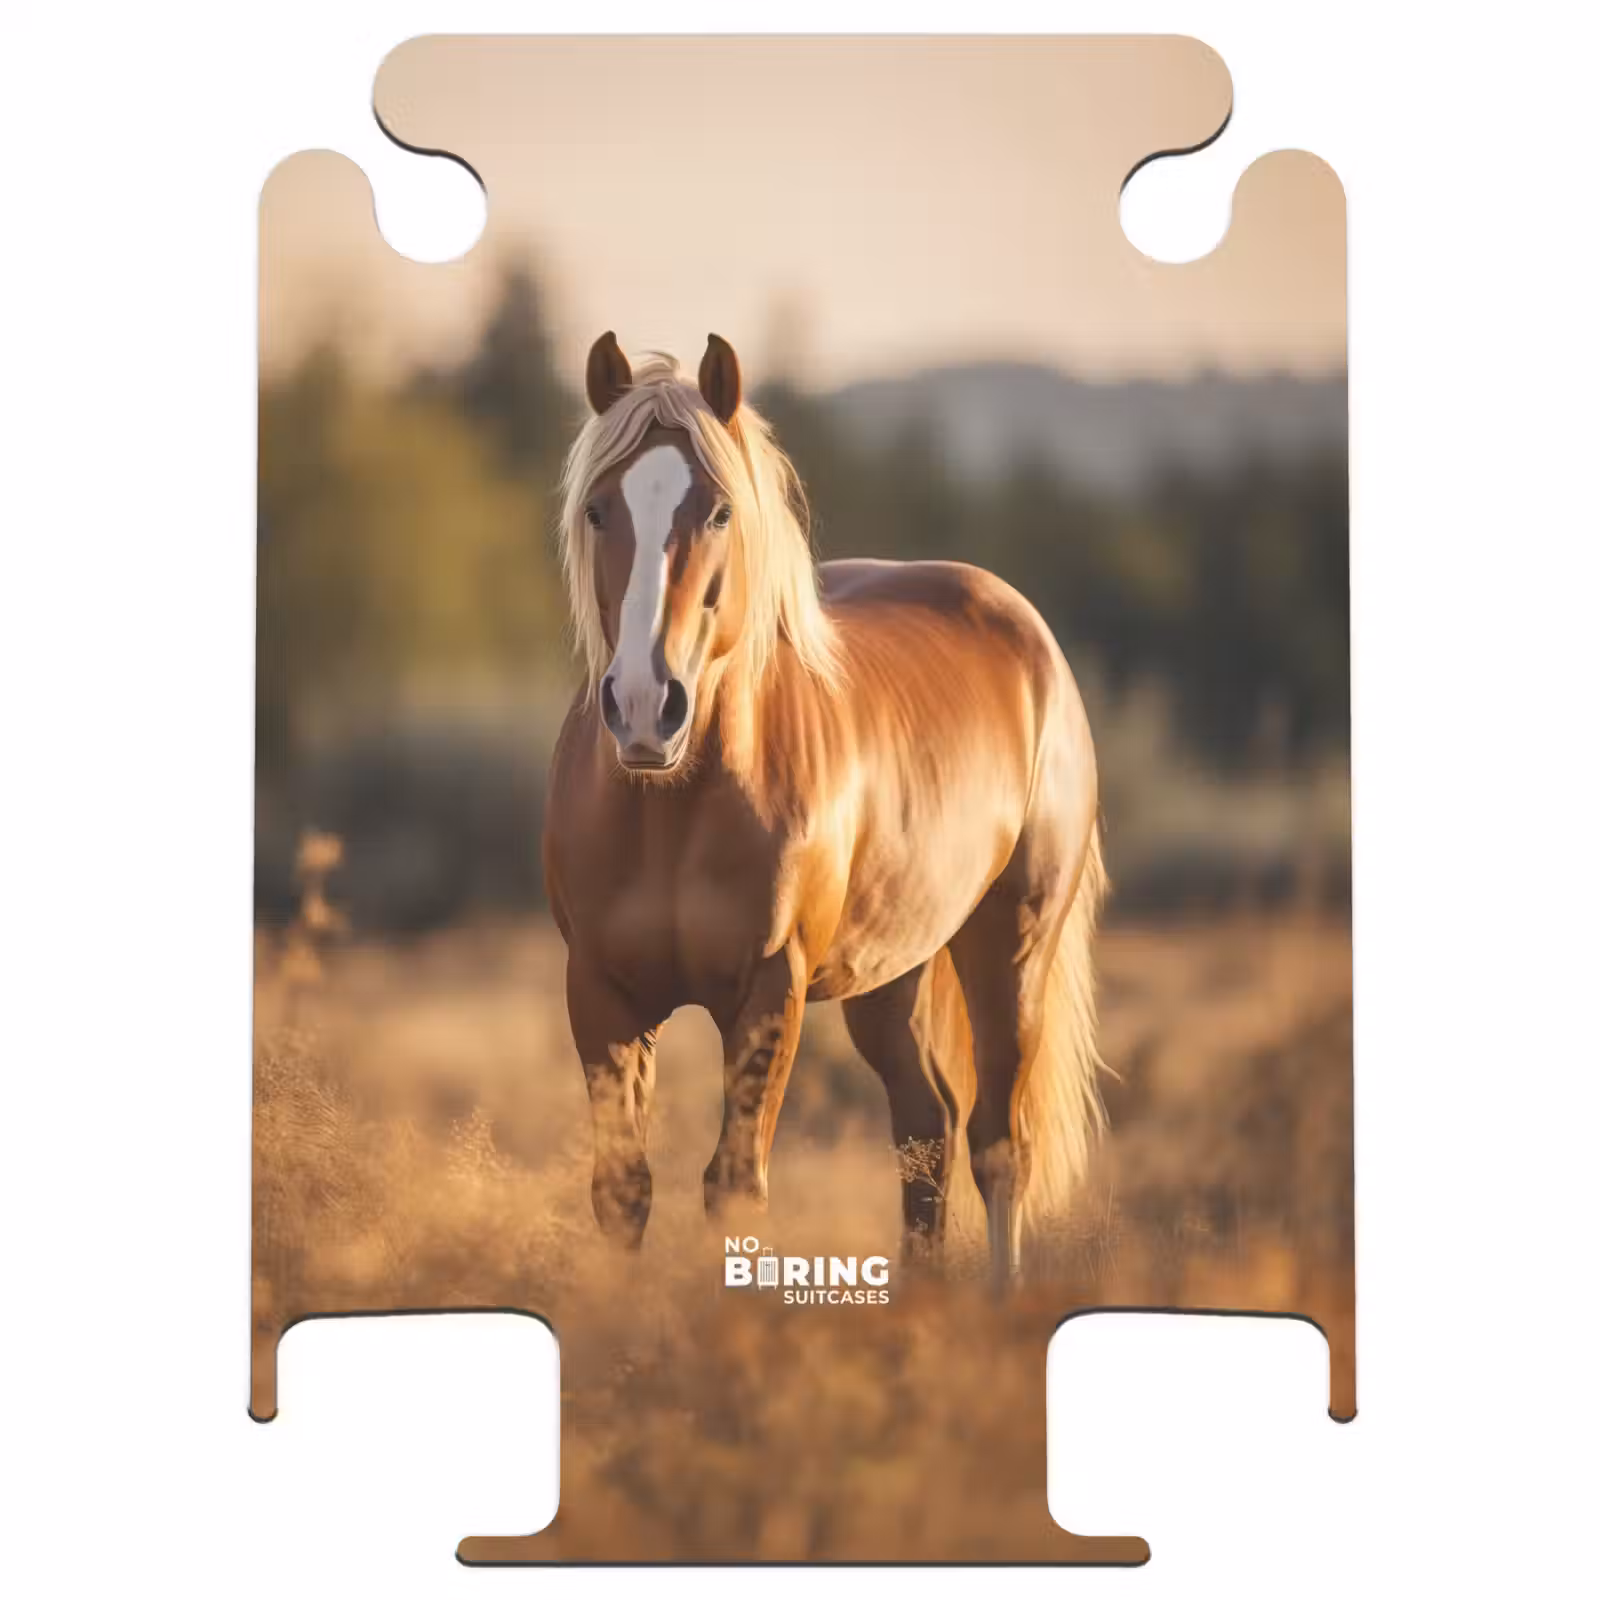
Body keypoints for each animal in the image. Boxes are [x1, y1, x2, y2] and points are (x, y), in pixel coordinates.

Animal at [542, 331, 1108, 1285]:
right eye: (597, 510)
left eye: (720, 512)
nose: (646, 706)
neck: (672, 807)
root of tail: (1028, 635)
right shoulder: (600, 989)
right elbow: (622, 1190)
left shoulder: (773, 987)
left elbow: (734, 1185)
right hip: (891, 973)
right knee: (927, 1129)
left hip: (1011, 947)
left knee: (1000, 1146)